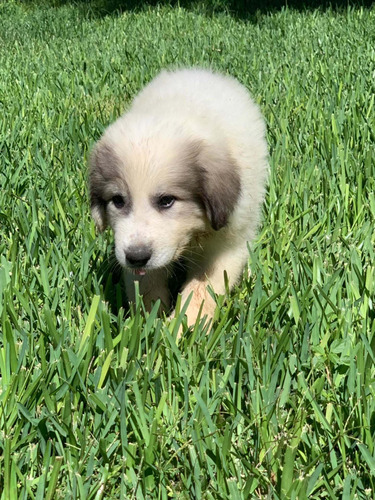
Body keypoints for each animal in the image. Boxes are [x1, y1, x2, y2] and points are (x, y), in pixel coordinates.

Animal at [89, 68, 268, 326]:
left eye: (167, 200)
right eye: (118, 201)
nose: (136, 257)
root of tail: (199, 71)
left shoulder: (226, 246)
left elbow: (201, 292)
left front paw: (183, 327)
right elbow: (147, 285)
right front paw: (150, 322)